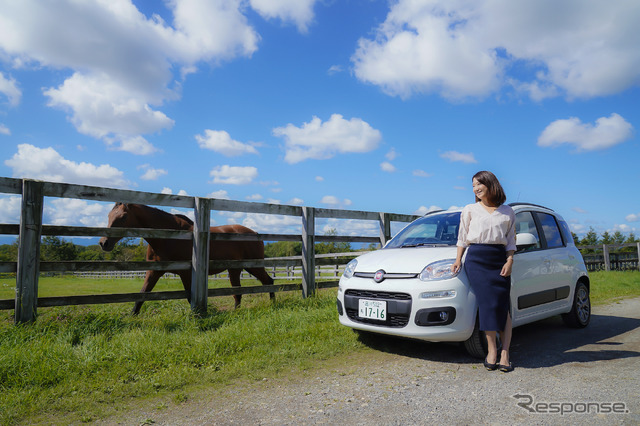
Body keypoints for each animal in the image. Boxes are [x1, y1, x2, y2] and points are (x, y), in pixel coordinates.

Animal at [99, 203, 274, 312]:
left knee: (268, 282)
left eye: (123, 217)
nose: (103, 243)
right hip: (235, 269)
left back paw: (273, 304)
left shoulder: (185, 273)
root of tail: (256, 233)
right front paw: (132, 317)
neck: (168, 237)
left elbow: (190, 298)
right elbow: (141, 295)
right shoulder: (153, 271)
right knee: (238, 292)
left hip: (253, 266)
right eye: (108, 215)